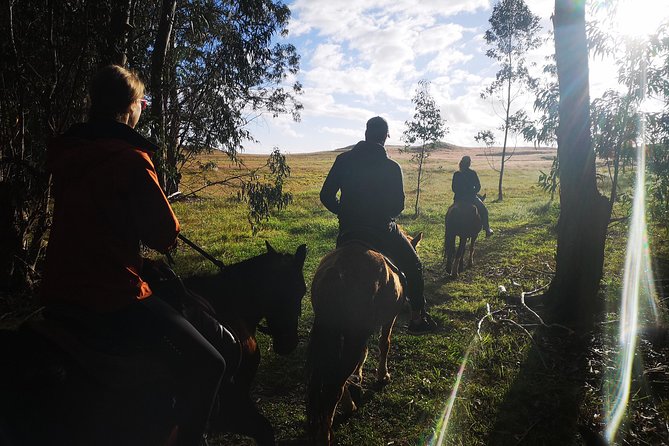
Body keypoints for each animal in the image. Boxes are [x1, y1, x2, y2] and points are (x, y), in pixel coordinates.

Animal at [306, 232, 420, 444]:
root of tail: (337, 271)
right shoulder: (389, 318)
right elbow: (384, 344)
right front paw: (383, 375)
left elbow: (365, 352)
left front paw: (358, 375)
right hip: (353, 336)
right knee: (334, 384)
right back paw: (328, 432)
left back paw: (347, 405)